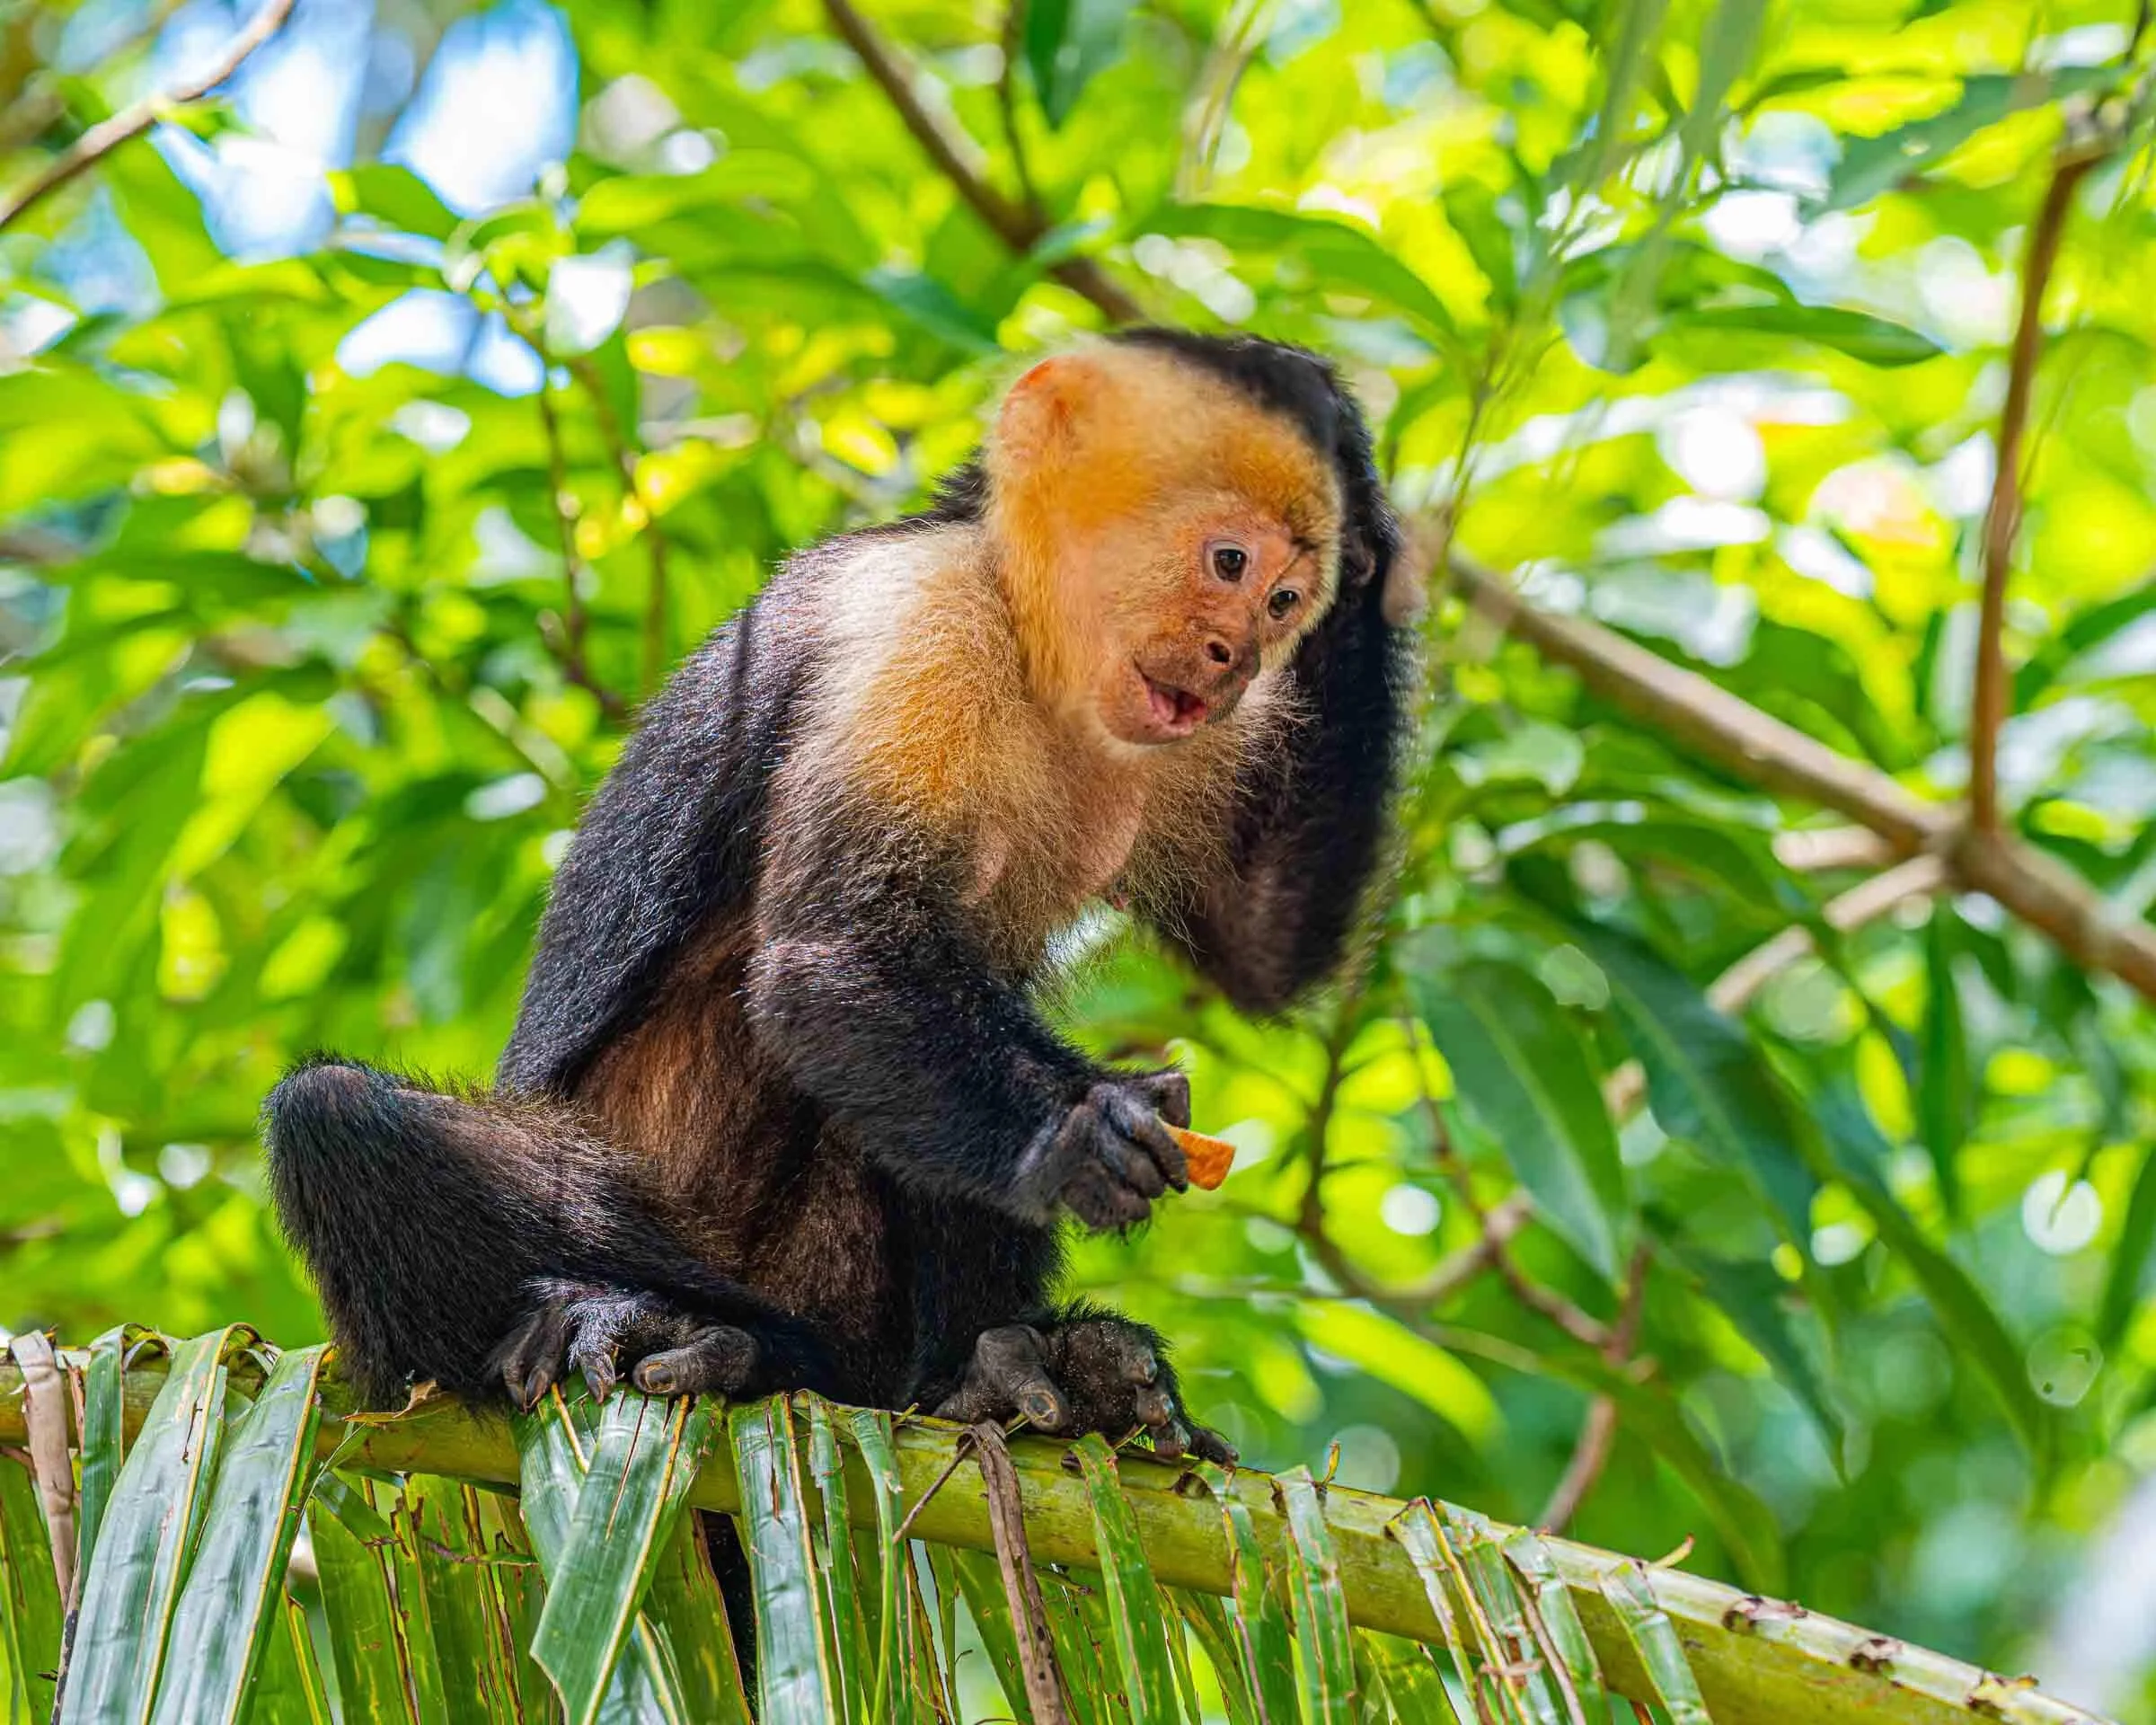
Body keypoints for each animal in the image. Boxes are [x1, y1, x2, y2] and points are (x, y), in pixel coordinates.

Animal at [264, 329, 1413, 1461]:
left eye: (1282, 605)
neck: (1036, 652)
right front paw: (1087, 1128)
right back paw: (696, 1335)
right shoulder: (921, 622)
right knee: (334, 1120)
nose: (1233, 656)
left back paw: (999, 1372)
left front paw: (1367, 517)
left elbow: (1262, 946)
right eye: (1228, 562)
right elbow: (831, 961)